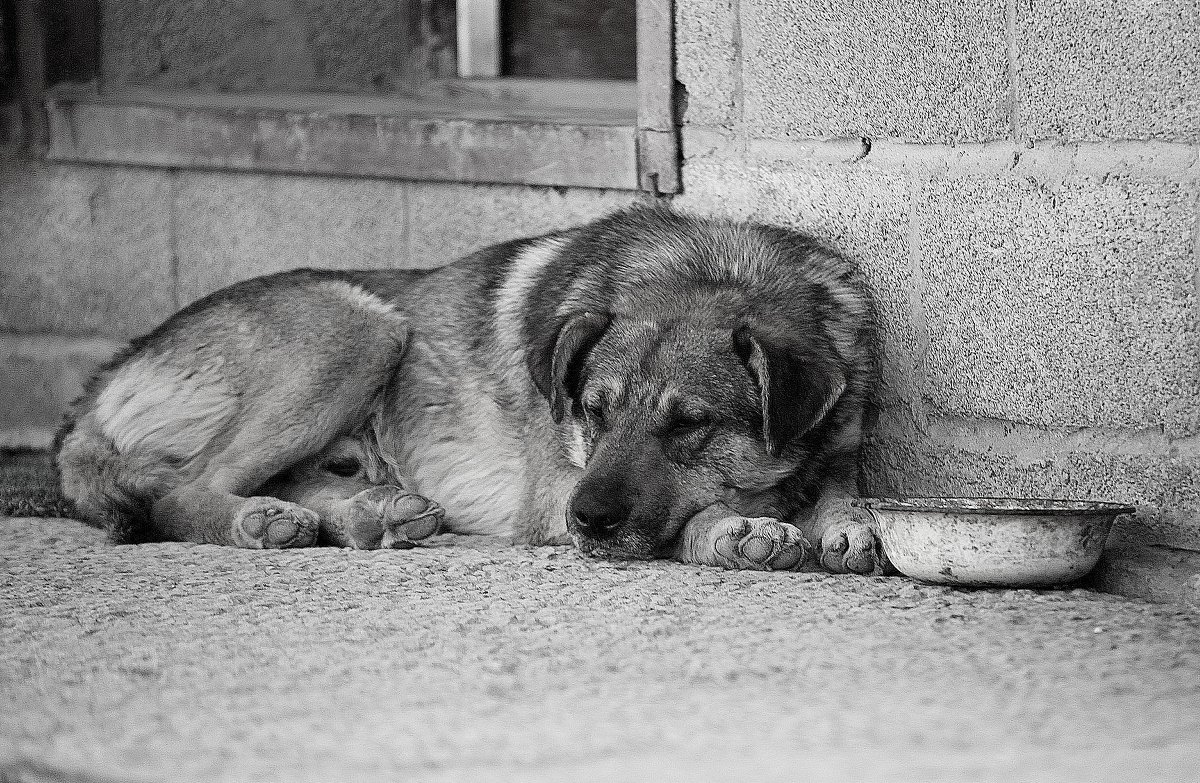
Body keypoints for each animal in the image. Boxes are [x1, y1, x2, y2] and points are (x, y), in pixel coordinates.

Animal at [51, 206, 888, 574]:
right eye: (592, 411)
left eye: (690, 423)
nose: (588, 518)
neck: (718, 269)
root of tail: (103, 380)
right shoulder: (551, 497)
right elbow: (698, 517)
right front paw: (733, 530)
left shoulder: (839, 442)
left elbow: (846, 490)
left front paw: (846, 524)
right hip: (359, 328)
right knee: (180, 491)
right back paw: (257, 522)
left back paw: (369, 516)